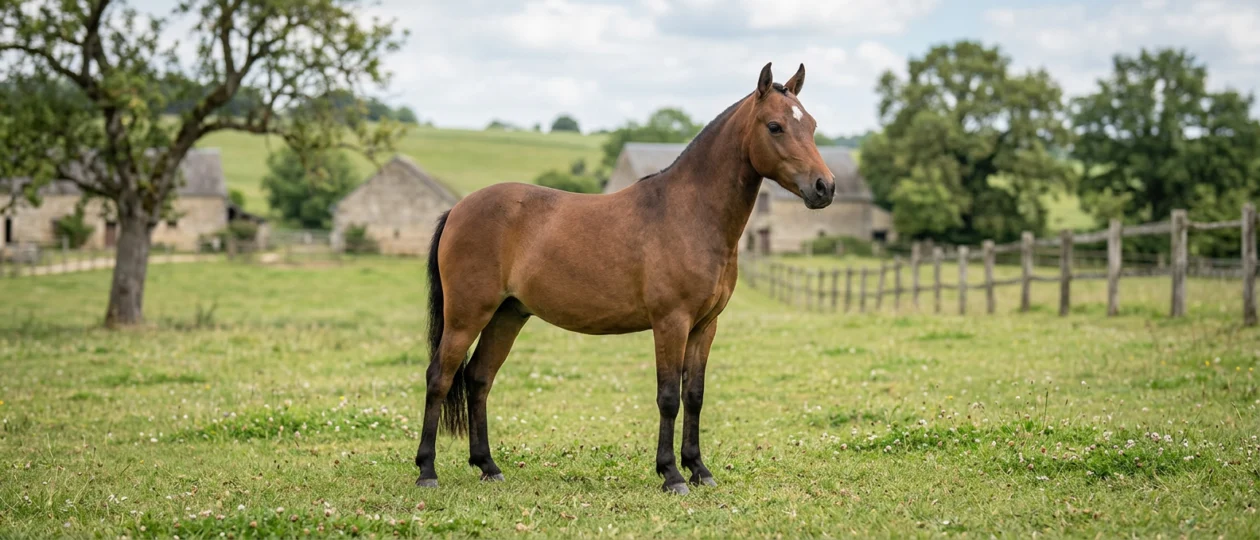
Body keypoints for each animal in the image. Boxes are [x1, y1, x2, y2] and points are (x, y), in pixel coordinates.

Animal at [415, 62, 835, 494]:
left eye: (812, 125)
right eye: (775, 126)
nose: (825, 187)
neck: (690, 213)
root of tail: (457, 209)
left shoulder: (705, 326)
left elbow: (694, 395)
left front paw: (699, 469)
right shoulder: (671, 322)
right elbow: (668, 397)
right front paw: (671, 474)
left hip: (507, 315)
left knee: (479, 378)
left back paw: (488, 465)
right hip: (467, 316)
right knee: (439, 377)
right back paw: (427, 471)